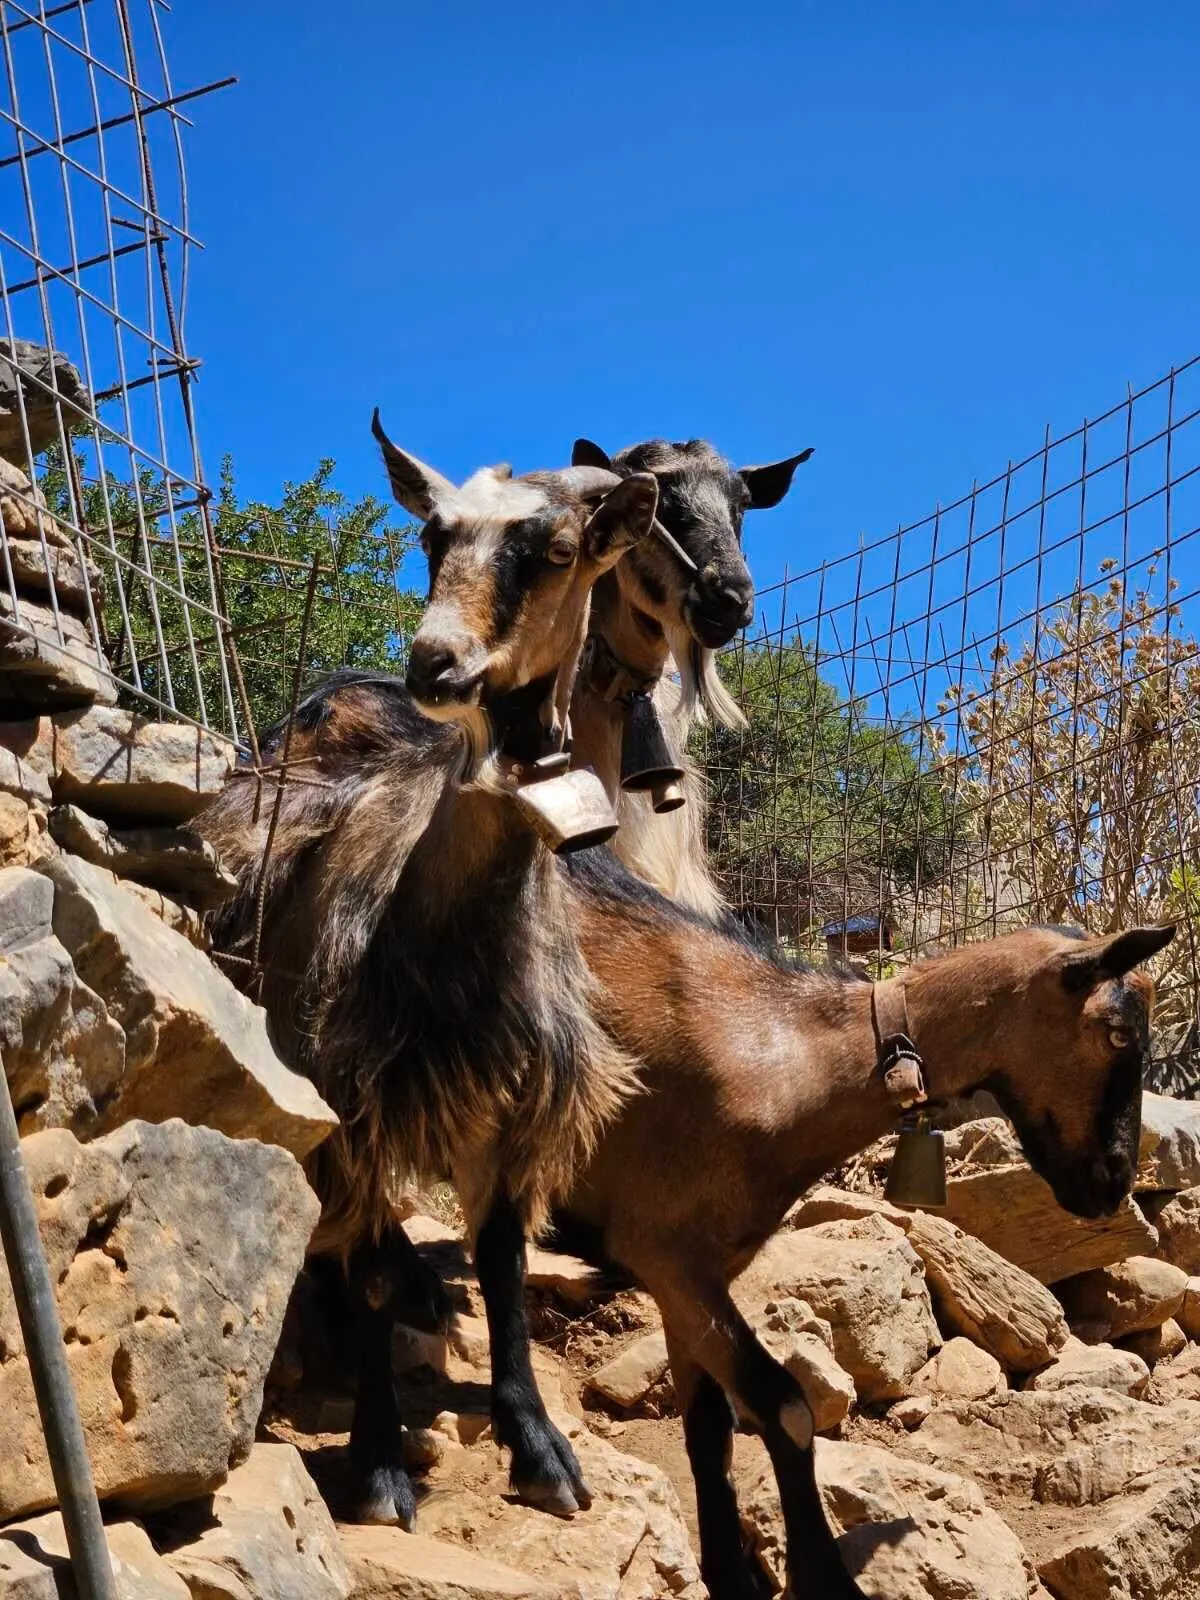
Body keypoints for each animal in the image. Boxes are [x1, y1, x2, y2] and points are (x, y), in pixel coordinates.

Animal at [200, 419, 662, 1529]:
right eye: (430, 537)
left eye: (556, 547)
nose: (436, 661)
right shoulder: (350, 1101)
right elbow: (364, 1266)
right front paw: (376, 1466)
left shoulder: (518, 1109)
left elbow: (503, 1265)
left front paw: (538, 1447)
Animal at [560, 844, 1177, 1593]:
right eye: (1115, 1032)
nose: (1114, 1183)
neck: (778, 1056)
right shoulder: (662, 1249)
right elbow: (785, 1407)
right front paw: (825, 1578)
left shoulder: (691, 1269)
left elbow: (708, 1428)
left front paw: (731, 1579)